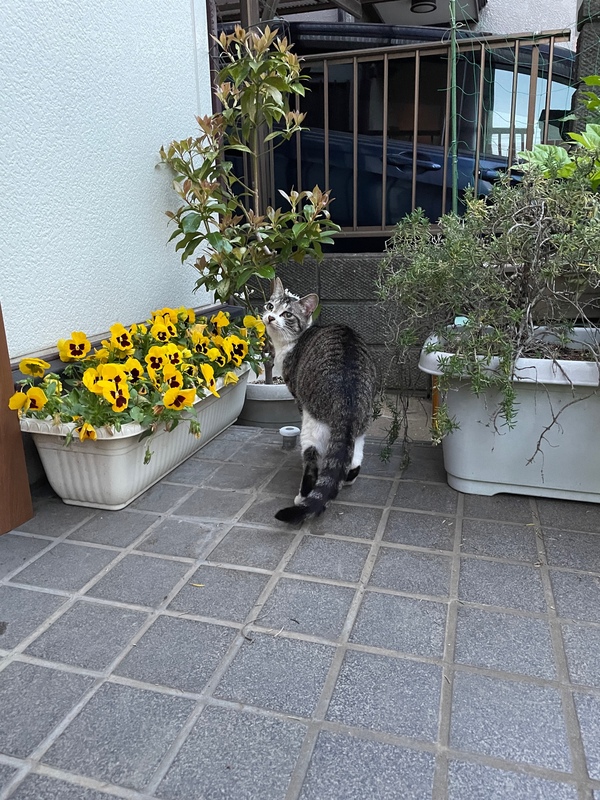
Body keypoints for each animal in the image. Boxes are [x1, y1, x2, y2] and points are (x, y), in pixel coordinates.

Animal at [263, 278, 377, 524]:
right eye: (270, 306)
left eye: (287, 314)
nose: (270, 317)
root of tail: (347, 399)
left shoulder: (297, 396)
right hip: (362, 424)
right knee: (355, 456)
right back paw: (348, 477)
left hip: (311, 423)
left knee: (313, 459)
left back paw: (303, 495)